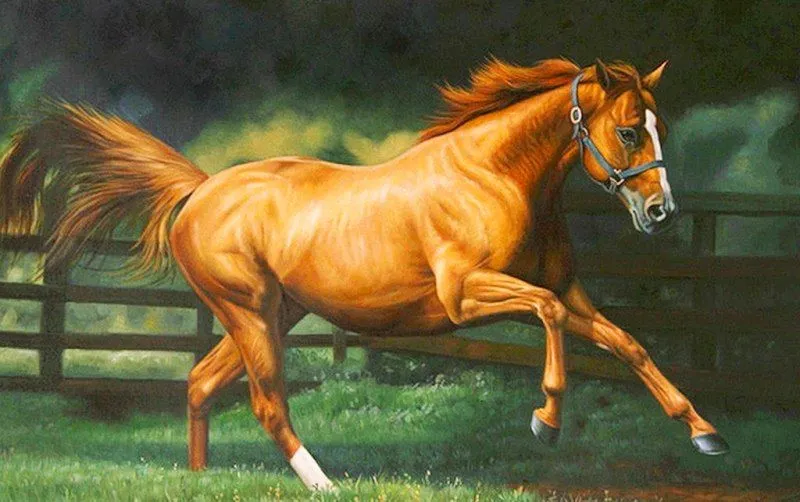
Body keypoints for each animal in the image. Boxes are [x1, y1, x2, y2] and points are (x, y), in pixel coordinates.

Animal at [0, 57, 729, 491]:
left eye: (659, 128)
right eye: (631, 131)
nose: (660, 213)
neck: (497, 178)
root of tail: (202, 188)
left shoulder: (568, 290)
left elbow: (628, 344)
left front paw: (705, 434)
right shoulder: (468, 298)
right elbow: (548, 320)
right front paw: (545, 420)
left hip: (273, 314)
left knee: (202, 382)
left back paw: (203, 478)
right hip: (250, 312)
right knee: (266, 401)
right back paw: (322, 484)